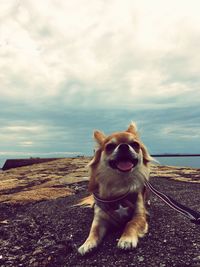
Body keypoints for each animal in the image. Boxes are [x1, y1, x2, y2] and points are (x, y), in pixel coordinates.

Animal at [77, 122, 152, 256]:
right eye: (110, 146)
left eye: (135, 144)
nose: (124, 146)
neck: (120, 185)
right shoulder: (99, 218)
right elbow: (93, 230)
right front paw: (87, 243)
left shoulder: (139, 216)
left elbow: (130, 223)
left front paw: (126, 239)